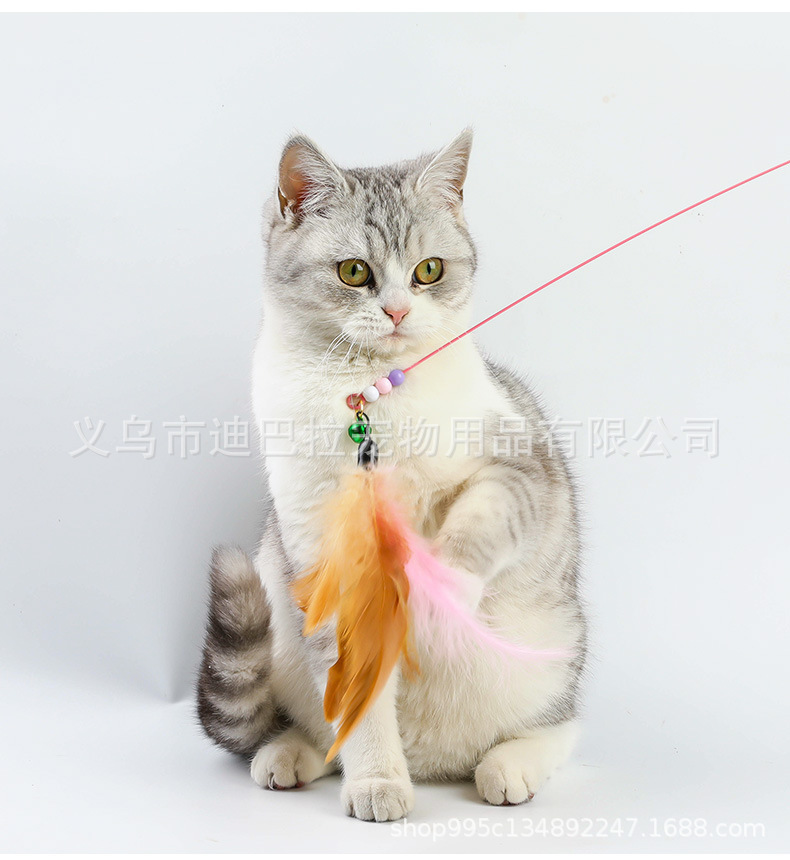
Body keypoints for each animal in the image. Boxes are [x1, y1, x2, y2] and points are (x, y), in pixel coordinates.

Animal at [196, 129, 587, 822]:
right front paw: (377, 780)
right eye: (355, 271)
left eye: (428, 270)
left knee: (558, 729)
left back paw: (509, 766)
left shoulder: (519, 463)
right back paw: (288, 755)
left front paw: (441, 588)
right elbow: (358, 700)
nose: (400, 311)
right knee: (316, 728)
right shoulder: (325, 554)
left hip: (548, 661)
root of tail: (435, 760)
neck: (368, 396)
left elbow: (480, 519)